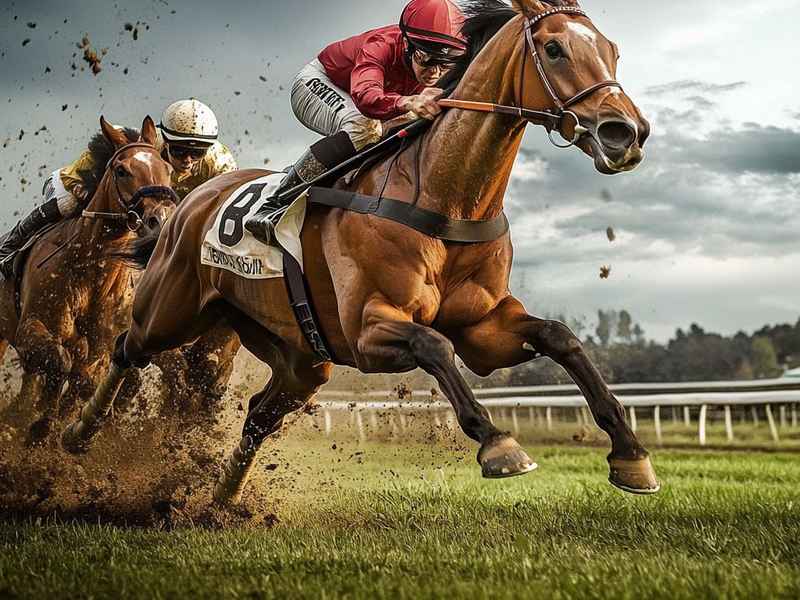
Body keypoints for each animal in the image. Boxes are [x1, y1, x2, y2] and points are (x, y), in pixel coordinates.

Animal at [0, 116, 178, 442]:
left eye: (167, 169)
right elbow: (60, 361)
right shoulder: (30, 329)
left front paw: (59, 427)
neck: (90, 274)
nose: (161, 219)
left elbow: (83, 378)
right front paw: (40, 427)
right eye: (122, 170)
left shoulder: (102, 348)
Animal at [63, 0, 659, 503]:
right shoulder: (367, 329)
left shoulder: (484, 329)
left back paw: (223, 502)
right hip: (171, 312)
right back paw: (76, 436)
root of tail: (189, 201)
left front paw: (630, 455)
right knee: (127, 348)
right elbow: (434, 345)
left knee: (258, 415)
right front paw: (499, 445)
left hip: (301, 356)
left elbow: (561, 338)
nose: (625, 133)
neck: (443, 197)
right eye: (555, 49)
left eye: (613, 50)